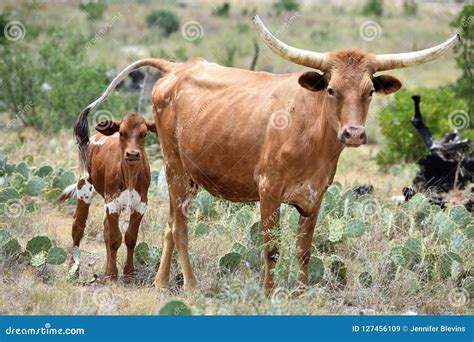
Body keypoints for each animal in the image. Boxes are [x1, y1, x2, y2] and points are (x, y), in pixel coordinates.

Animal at [60, 113, 156, 280]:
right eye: (122, 133)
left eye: (144, 134)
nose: (132, 154)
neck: (129, 175)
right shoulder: (112, 203)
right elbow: (115, 238)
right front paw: (112, 274)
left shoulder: (141, 204)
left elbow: (130, 238)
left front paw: (128, 273)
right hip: (84, 189)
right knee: (78, 228)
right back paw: (74, 270)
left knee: (105, 229)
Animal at [72, 16, 458, 292]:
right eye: (331, 89)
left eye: (369, 92)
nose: (354, 133)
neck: (312, 135)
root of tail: (178, 67)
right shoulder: (269, 190)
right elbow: (272, 248)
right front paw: (269, 293)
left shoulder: (316, 196)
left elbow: (304, 249)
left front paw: (301, 293)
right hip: (174, 166)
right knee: (180, 227)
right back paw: (192, 286)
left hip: (192, 175)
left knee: (169, 225)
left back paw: (162, 283)